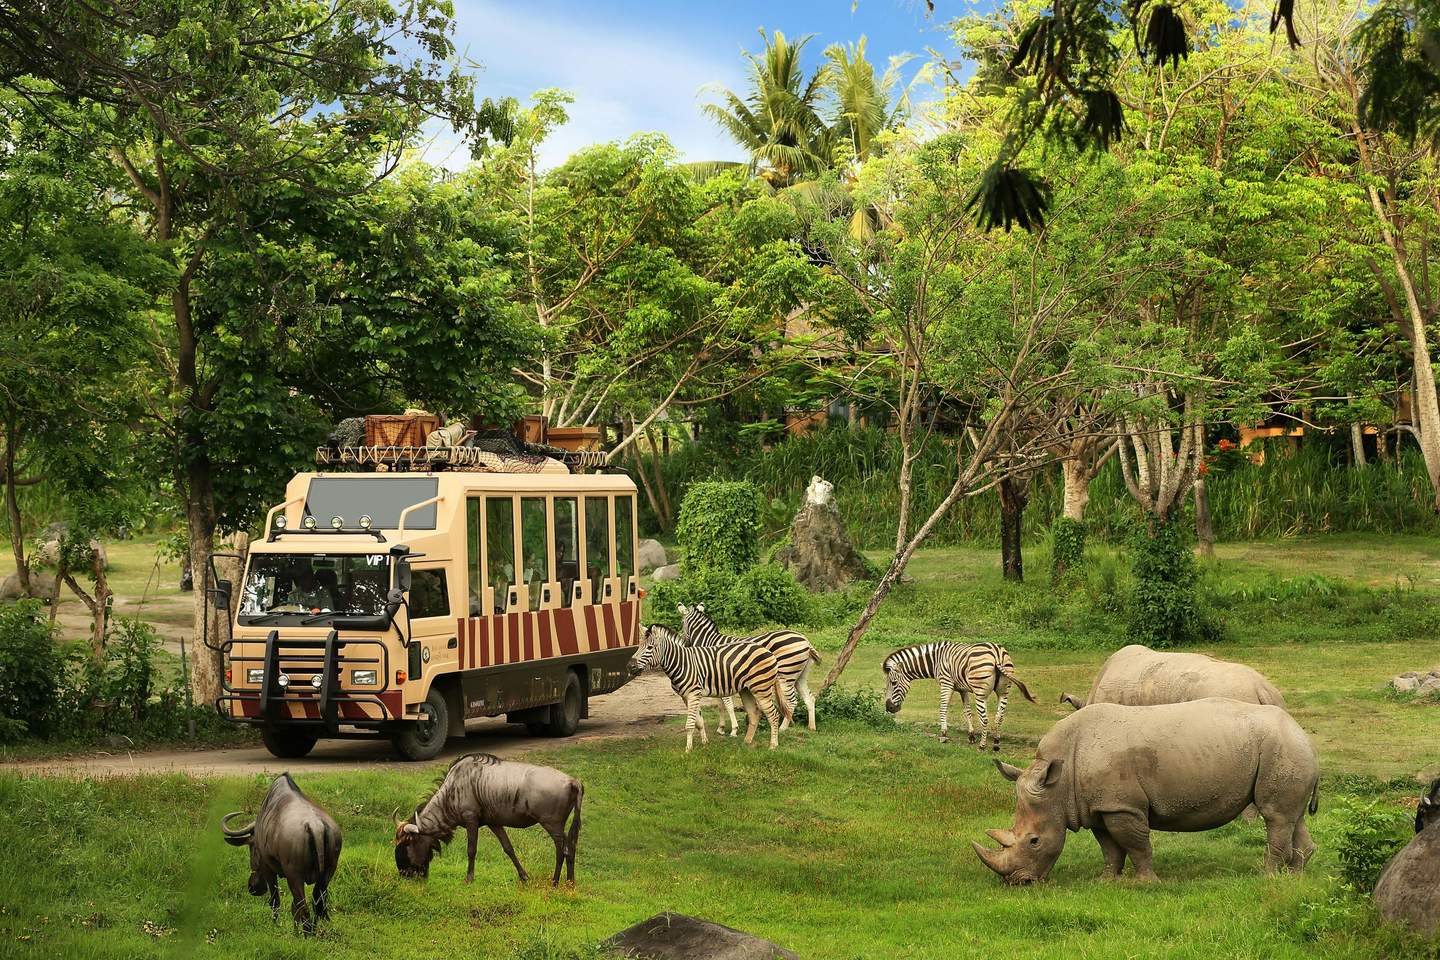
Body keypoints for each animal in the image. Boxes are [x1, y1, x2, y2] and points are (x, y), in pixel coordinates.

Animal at [628, 624, 793, 752]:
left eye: (650, 647)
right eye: (638, 647)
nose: (630, 666)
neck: (682, 663)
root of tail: (768, 651)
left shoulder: (693, 693)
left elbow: (689, 724)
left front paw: (688, 750)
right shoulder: (686, 696)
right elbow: (699, 722)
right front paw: (704, 743)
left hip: (761, 688)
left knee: (773, 715)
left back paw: (773, 745)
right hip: (746, 689)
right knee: (754, 713)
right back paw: (747, 742)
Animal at [678, 603, 820, 733]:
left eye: (681, 623)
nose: (685, 644)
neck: (709, 642)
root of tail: (805, 640)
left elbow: (728, 705)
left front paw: (734, 729)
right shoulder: (716, 679)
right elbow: (720, 705)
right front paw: (721, 728)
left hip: (786, 675)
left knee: (792, 702)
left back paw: (782, 728)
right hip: (800, 676)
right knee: (809, 698)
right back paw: (811, 727)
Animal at [881, 641, 1036, 751]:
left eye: (894, 683)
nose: (889, 708)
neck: (936, 660)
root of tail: (997, 654)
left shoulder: (946, 684)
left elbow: (943, 708)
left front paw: (943, 735)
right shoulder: (963, 689)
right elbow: (967, 712)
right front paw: (971, 736)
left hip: (980, 693)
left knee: (985, 718)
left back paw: (982, 746)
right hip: (1003, 691)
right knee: (999, 716)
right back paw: (996, 743)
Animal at [972, 699, 1318, 884]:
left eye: (1034, 841)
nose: (1019, 883)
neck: (1059, 782)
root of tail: (1302, 732)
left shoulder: (1122, 806)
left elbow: (1136, 845)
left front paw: (1146, 883)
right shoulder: (1099, 806)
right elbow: (1109, 848)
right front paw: (1106, 882)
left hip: (1281, 747)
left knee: (1275, 816)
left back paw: (1267, 877)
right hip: (1288, 750)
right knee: (1293, 817)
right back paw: (1295, 878)